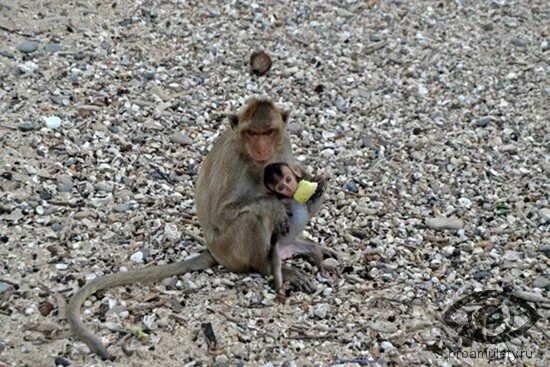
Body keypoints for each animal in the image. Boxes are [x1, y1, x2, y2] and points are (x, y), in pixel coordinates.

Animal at [264, 163, 328, 302]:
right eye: (281, 187)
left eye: (288, 179)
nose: (289, 187)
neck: (291, 198)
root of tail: (287, 251)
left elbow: (312, 211)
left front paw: (320, 182)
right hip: (276, 250)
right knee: (276, 265)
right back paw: (280, 289)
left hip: (296, 245)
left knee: (314, 248)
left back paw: (322, 267)